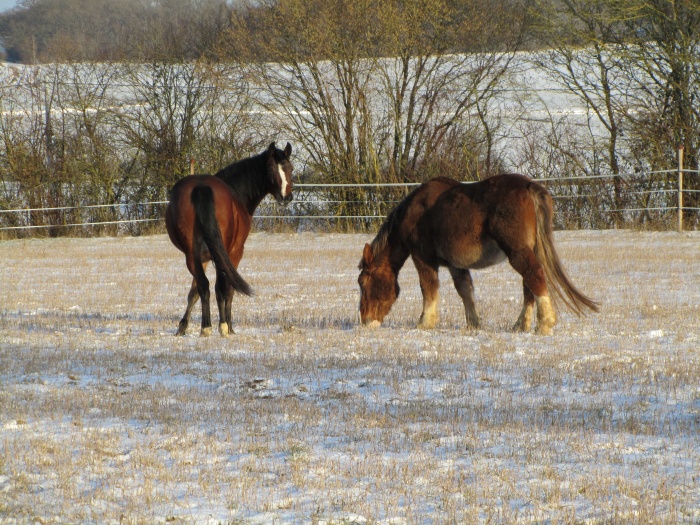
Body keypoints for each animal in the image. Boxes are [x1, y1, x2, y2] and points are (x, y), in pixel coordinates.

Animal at [167, 141, 292, 336]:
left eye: (290, 168)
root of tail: (201, 186)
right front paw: (228, 326)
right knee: (218, 287)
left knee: (203, 285)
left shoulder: (203, 258)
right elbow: (228, 289)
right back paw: (214, 326)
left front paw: (183, 326)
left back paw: (205, 327)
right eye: (271, 169)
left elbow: (194, 292)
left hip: (192, 254)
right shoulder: (234, 253)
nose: (286, 197)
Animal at [360, 174, 596, 334]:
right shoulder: (455, 264)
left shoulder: (422, 256)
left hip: (517, 251)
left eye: (362, 282)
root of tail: (530, 187)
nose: (365, 319)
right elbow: (465, 290)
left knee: (534, 275)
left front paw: (425, 322)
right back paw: (521, 325)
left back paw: (545, 323)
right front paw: (473, 323)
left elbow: (428, 287)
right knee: (528, 284)